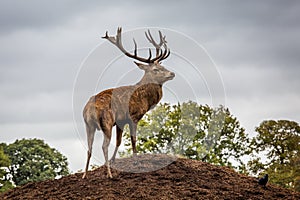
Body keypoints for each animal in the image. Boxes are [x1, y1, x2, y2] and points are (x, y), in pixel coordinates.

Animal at [82, 27, 176, 179]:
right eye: (155, 69)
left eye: (163, 66)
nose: (172, 73)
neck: (144, 100)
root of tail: (89, 109)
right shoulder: (133, 116)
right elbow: (133, 139)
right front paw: (136, 161)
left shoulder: (121, 120)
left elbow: (119, 141)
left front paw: (114, 160)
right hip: (106, 121)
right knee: (103, 146)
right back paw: (109, 174)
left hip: (88, 125)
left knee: (89, 148)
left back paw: (84, 175)